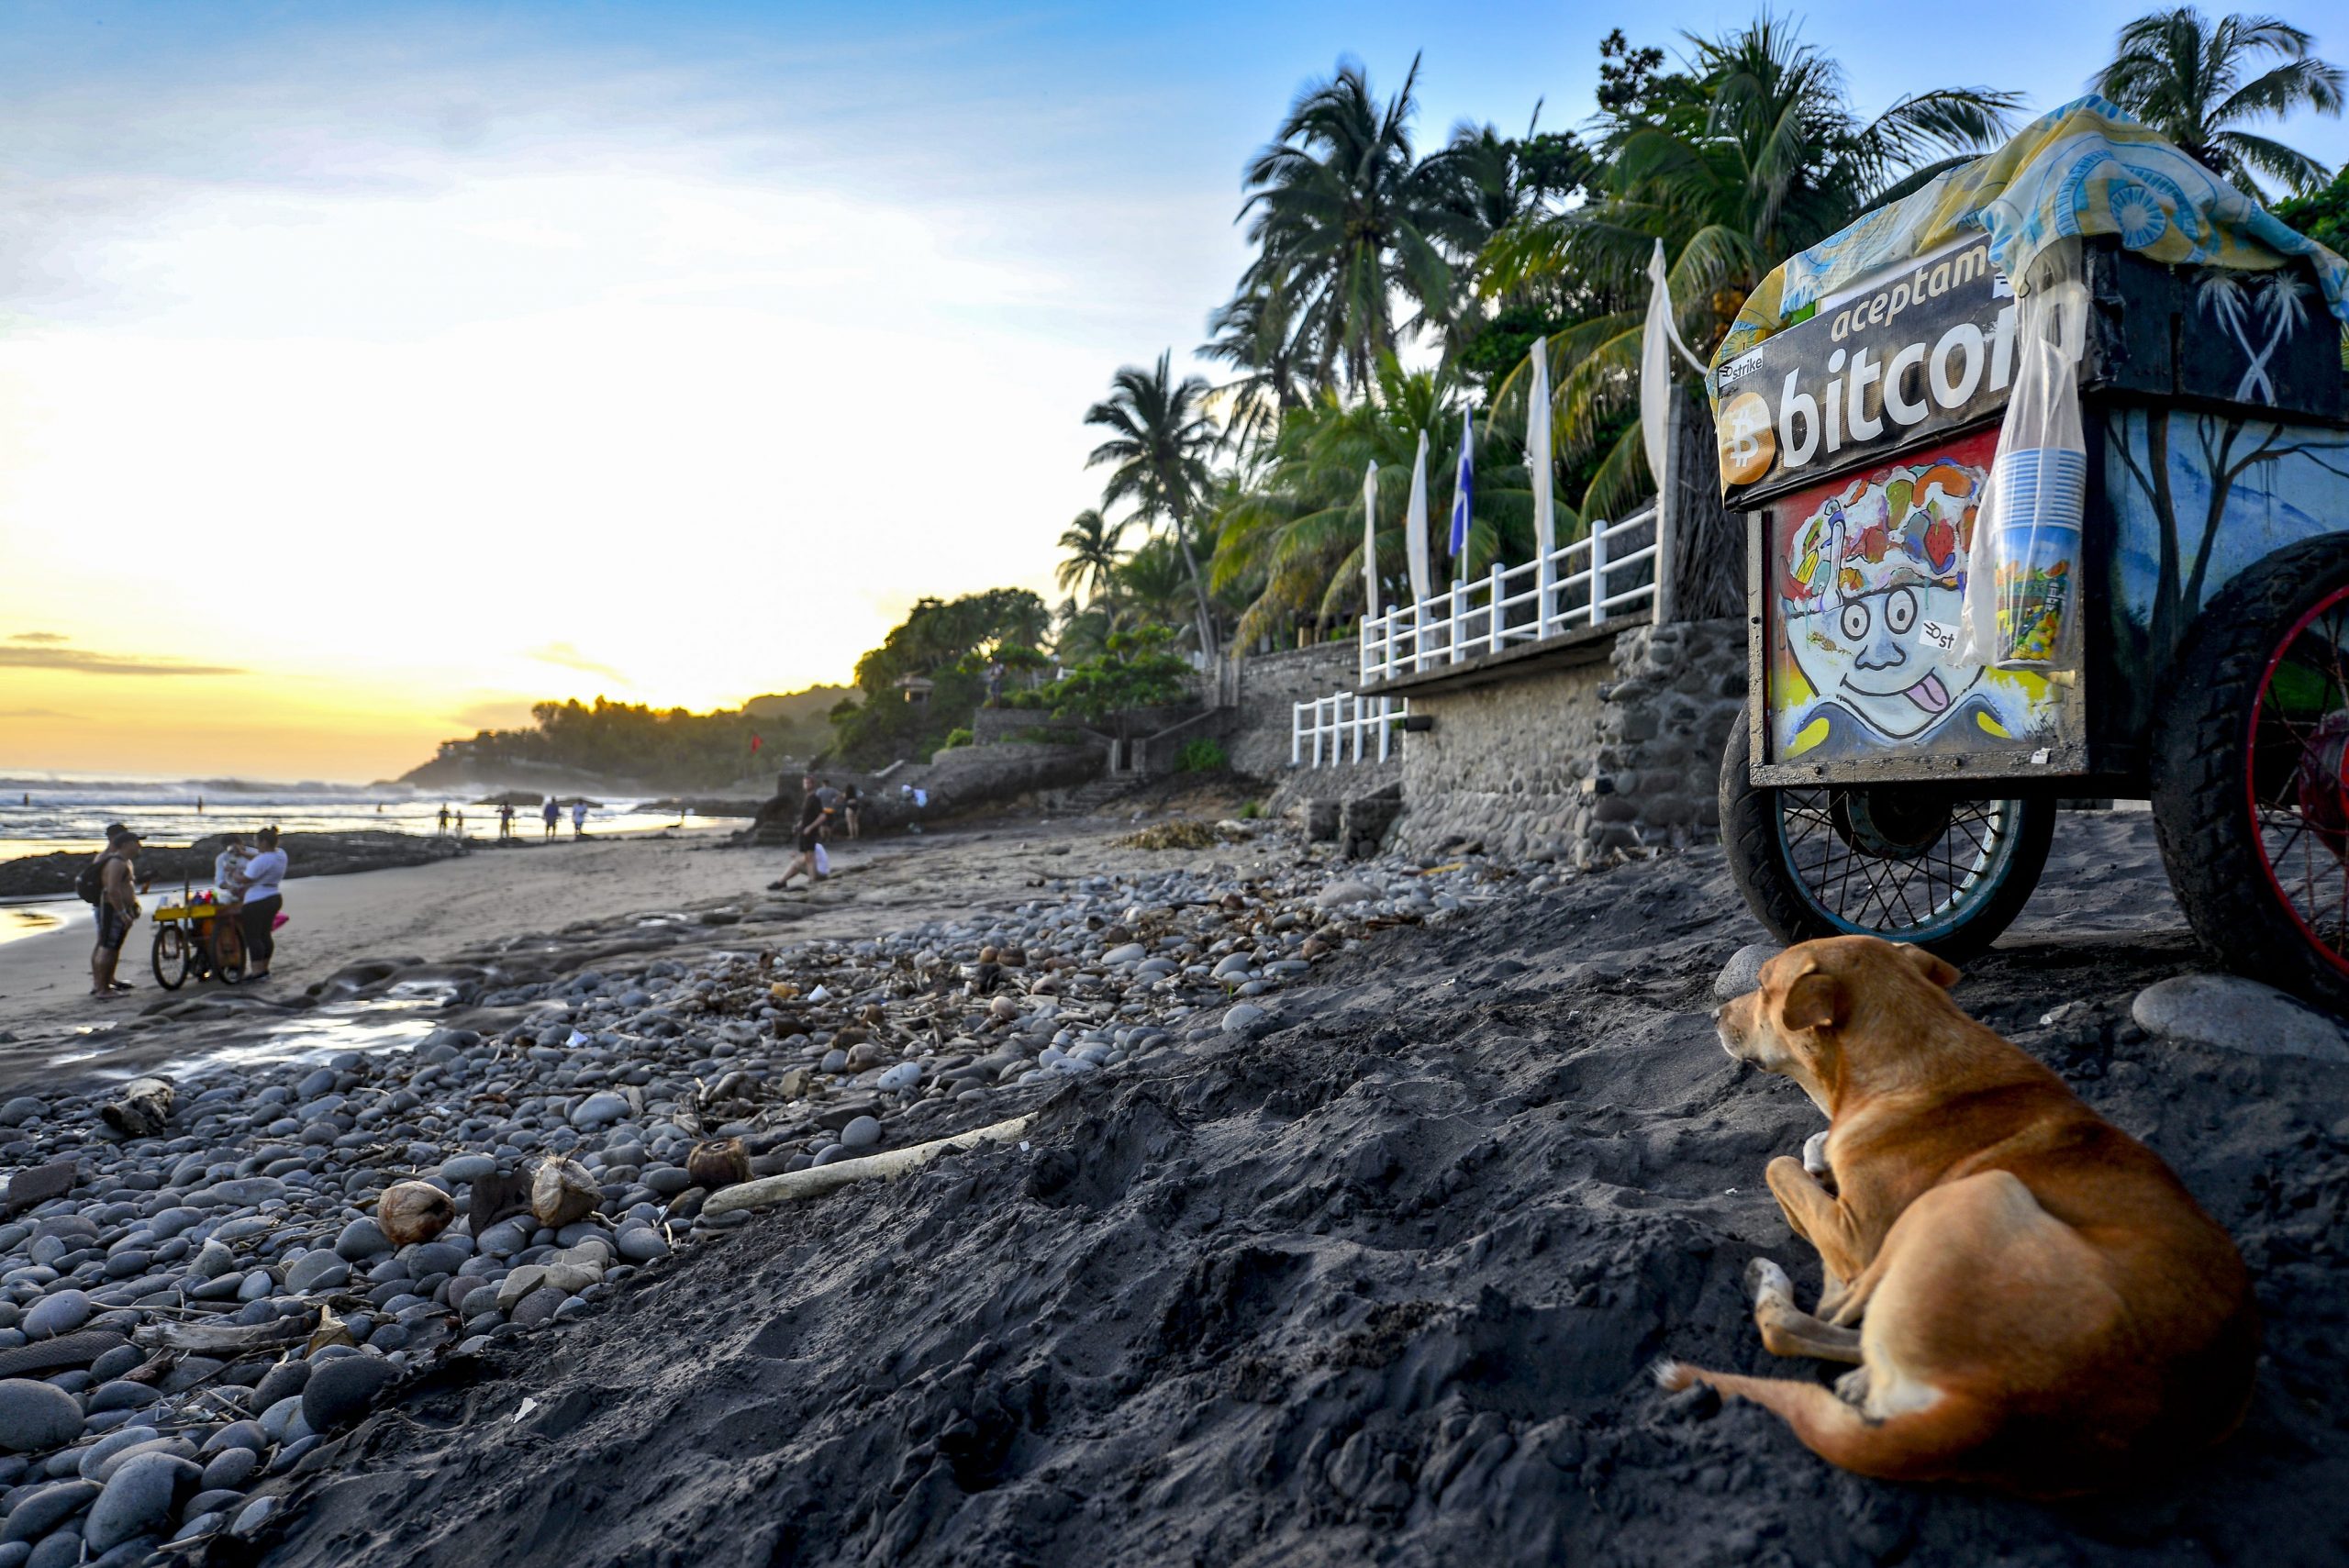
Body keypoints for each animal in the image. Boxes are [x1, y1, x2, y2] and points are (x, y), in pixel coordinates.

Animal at [1653, 929, 2254, 1493]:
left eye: (1761, 986)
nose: (1712, 1015)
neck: (1907, 1058)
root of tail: (1991, 1407)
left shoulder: (1856, 1236)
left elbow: (1779, 1165)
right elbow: (1806, 1152)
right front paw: (1821, 1155)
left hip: (1972, 1193)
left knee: (1813, 1316)